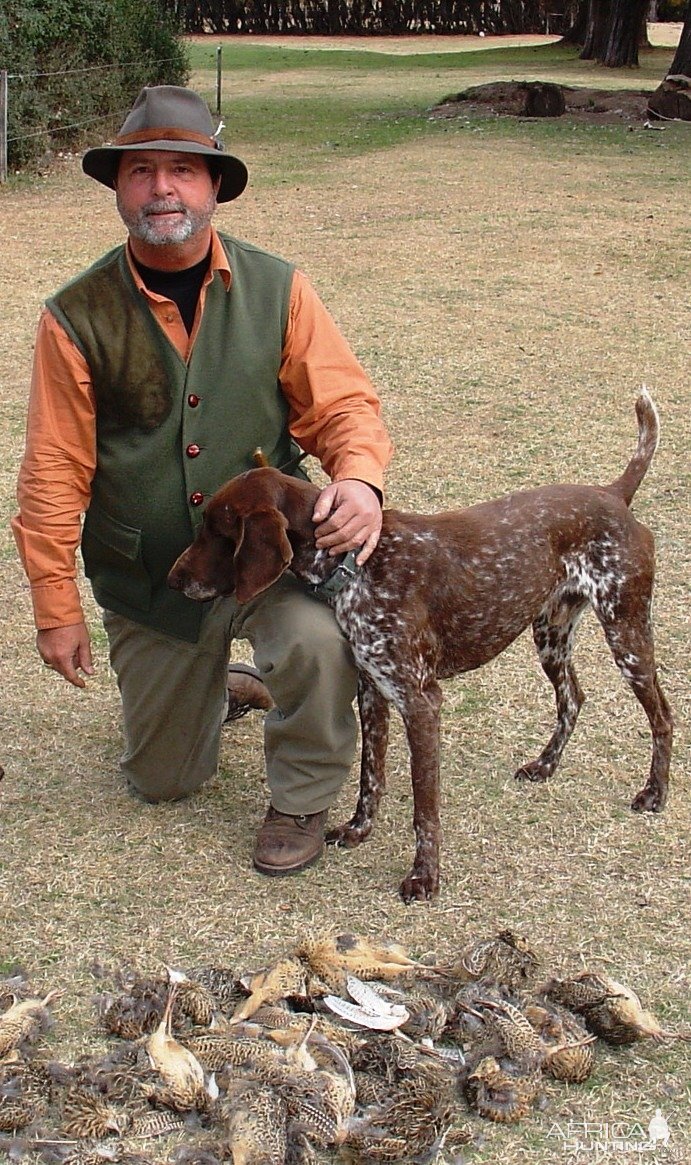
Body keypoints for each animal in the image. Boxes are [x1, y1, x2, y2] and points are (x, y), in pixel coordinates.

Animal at [168, 391, 675, 899]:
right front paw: (357, 830)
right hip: (550, 634)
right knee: (573, 697)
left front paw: (424, 875)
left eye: (218, 532)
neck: (357, 564)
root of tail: (613, 494)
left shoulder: (420, 700)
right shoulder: (373, 691)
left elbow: (424, 805)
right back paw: (545, 765)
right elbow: (370, 775)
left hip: (626, 633)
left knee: (662, 715)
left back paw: (654, 793)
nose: (173, 579)